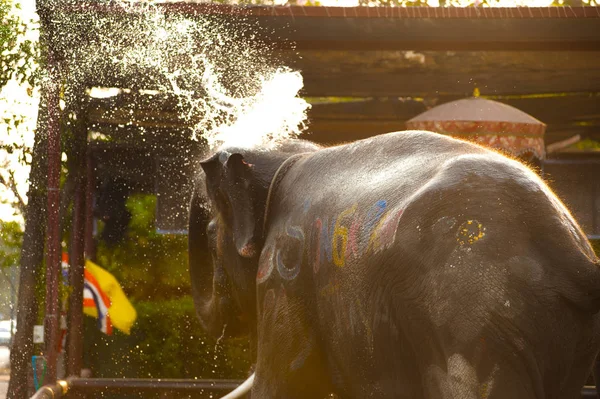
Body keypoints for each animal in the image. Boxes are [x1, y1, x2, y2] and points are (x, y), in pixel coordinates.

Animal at [190, 130, 600, 398]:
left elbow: (287, 382)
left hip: (474, 319)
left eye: (210, 235)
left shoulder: (284, 269)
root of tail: (571, 251)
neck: (286, 159)